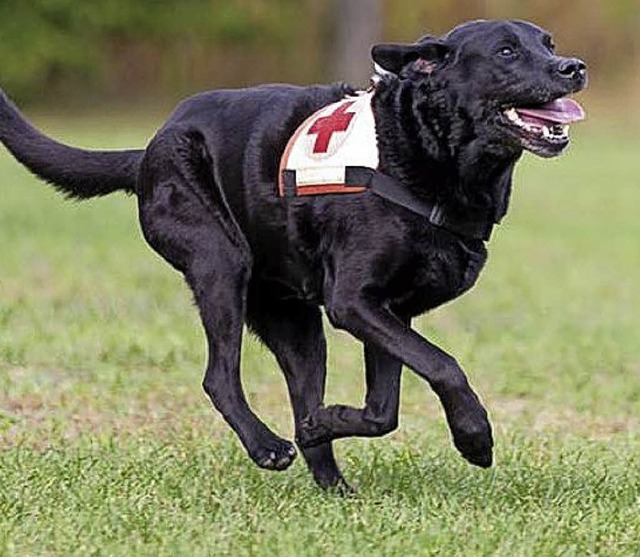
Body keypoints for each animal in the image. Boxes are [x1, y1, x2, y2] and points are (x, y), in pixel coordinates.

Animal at [1, 20, 584, 490]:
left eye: (548, 44)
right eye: (506, 51)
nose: (574, 67)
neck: (424, 153)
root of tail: (148, 149)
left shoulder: (390, 313)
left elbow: (383, 410)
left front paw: (327, 420)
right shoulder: (353, 303)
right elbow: (444, 364)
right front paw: (474, 437)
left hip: (297, 325)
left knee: (302, 396)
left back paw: (333, 481)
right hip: (220, 262)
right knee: (219, 377)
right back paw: (267, 447)